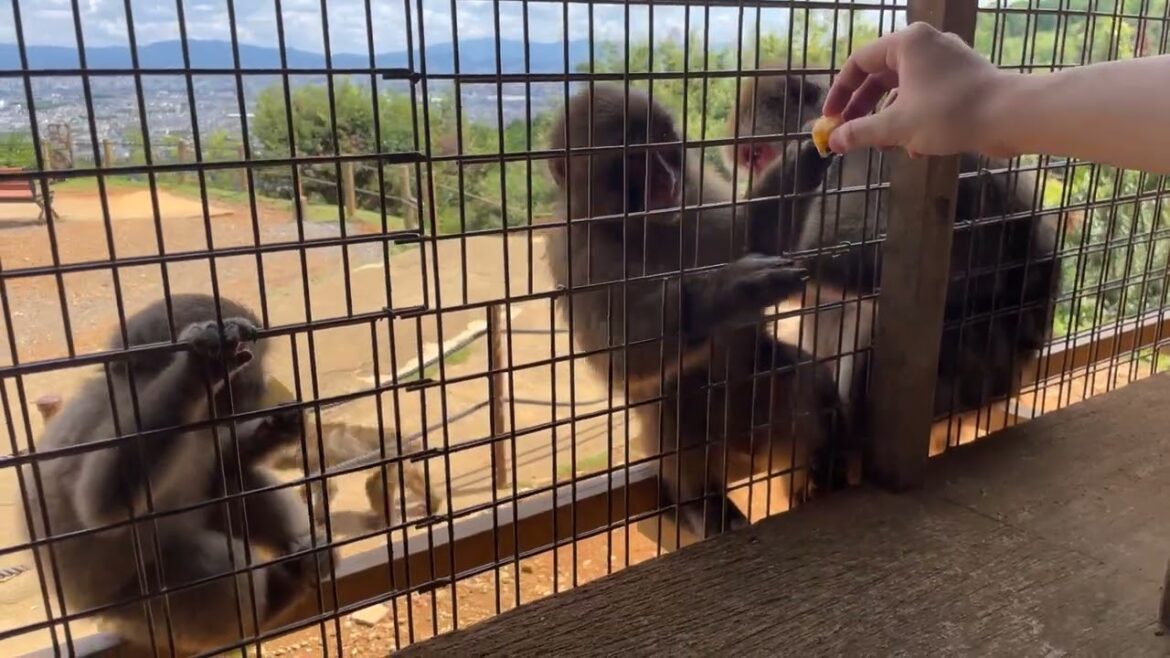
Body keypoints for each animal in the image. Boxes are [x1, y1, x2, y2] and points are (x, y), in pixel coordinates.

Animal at [19, 312, 332, 655]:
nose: (262, 384)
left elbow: (222, 459)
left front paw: (274, 428)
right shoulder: (123, 405)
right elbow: (102, 503)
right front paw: (200, 370)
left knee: (230, 481)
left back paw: (303, 561)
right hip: (136, 606)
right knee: (215, 565)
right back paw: (275, 595)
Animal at [545, 82, 848, 542]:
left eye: (664, 147)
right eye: (633, 160)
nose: (666, 179)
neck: (648, 229)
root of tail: (746, 452)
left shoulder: (699, 196)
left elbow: (754, 236)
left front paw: (809, 155)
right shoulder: (579, 255)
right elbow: (621, 358)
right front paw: (729, 291)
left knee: (799, 375)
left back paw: (813, 476)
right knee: (673, 404)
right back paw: (701, 502)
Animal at [728, 72, 1062, 420]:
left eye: (757, 155)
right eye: (749, 160)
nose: (748, 177)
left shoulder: (875, 152)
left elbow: (860, 252)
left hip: (969, 369)